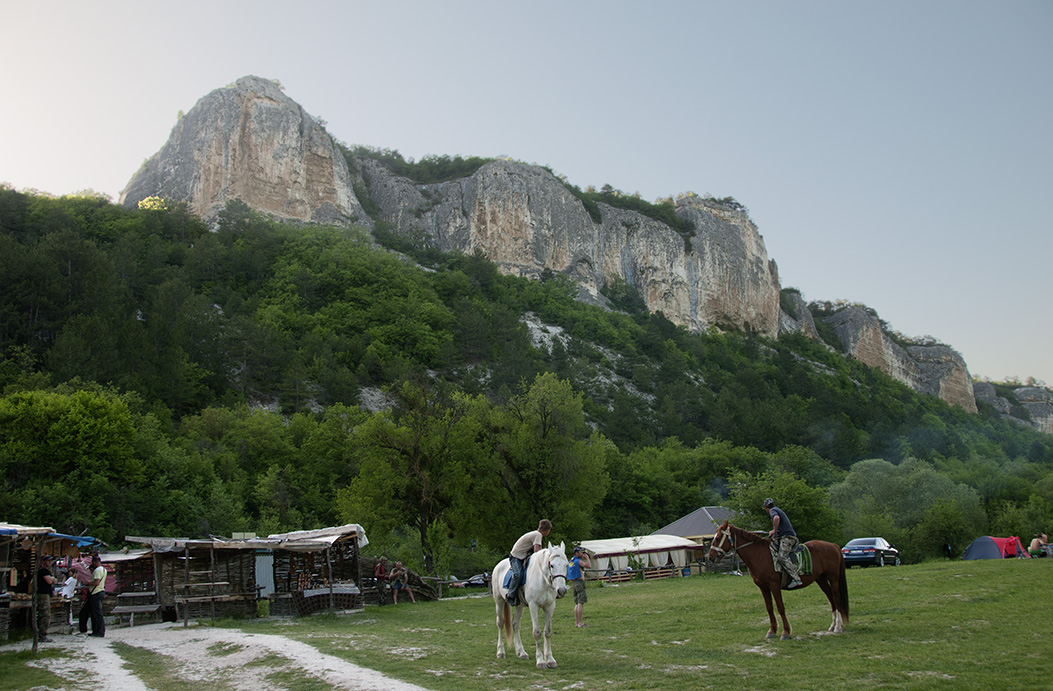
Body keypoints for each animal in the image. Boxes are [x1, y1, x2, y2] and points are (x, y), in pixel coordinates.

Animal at [707, 521, 849, 640]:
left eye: (718, 538)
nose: (710, 557)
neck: (759, 555)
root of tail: (833, 545)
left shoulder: (774, 586)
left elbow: (780, 607)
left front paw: (785, 632)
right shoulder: (763, 587)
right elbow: (769, 608)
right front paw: (772, 631)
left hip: (833, 578)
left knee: (836, 598)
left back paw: (838, 627)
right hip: (821, 579)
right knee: (831, 599)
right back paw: (833, 625)